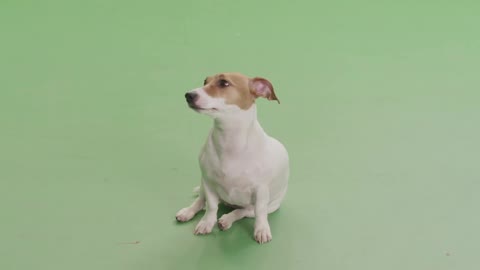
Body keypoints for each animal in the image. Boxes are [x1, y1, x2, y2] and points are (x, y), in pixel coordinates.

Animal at [176, 73, 288, 244]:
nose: (189, 95)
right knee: (201, 201)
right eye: (205, 81)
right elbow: (211, 207)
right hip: (203, 184)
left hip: (269, 205)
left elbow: (260, 212)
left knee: (244, 211)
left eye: (223, 83)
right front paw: (207, 223)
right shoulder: (209, 183)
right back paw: (188, 212)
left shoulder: (261, 191)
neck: (229, 138)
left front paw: (261, 229)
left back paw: (227, 219)